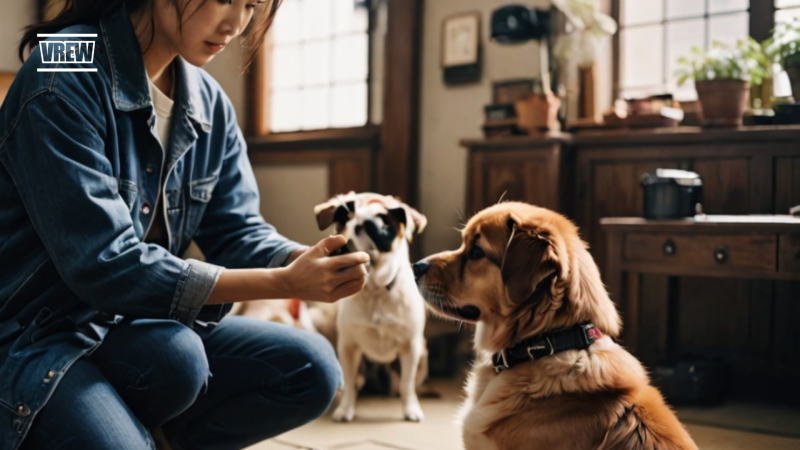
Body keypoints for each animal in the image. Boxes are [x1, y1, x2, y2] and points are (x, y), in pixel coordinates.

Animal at [314, 192, 428, 422]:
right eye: (341, 221)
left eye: (372, 228)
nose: (342, 243)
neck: (375, 291)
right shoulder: (348, 346)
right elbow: (349, 382)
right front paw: (346, 408)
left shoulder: (410, 347)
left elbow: (407, 384)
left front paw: (410, 409)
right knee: (355, 382)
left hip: (422, 354)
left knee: (404, 384)